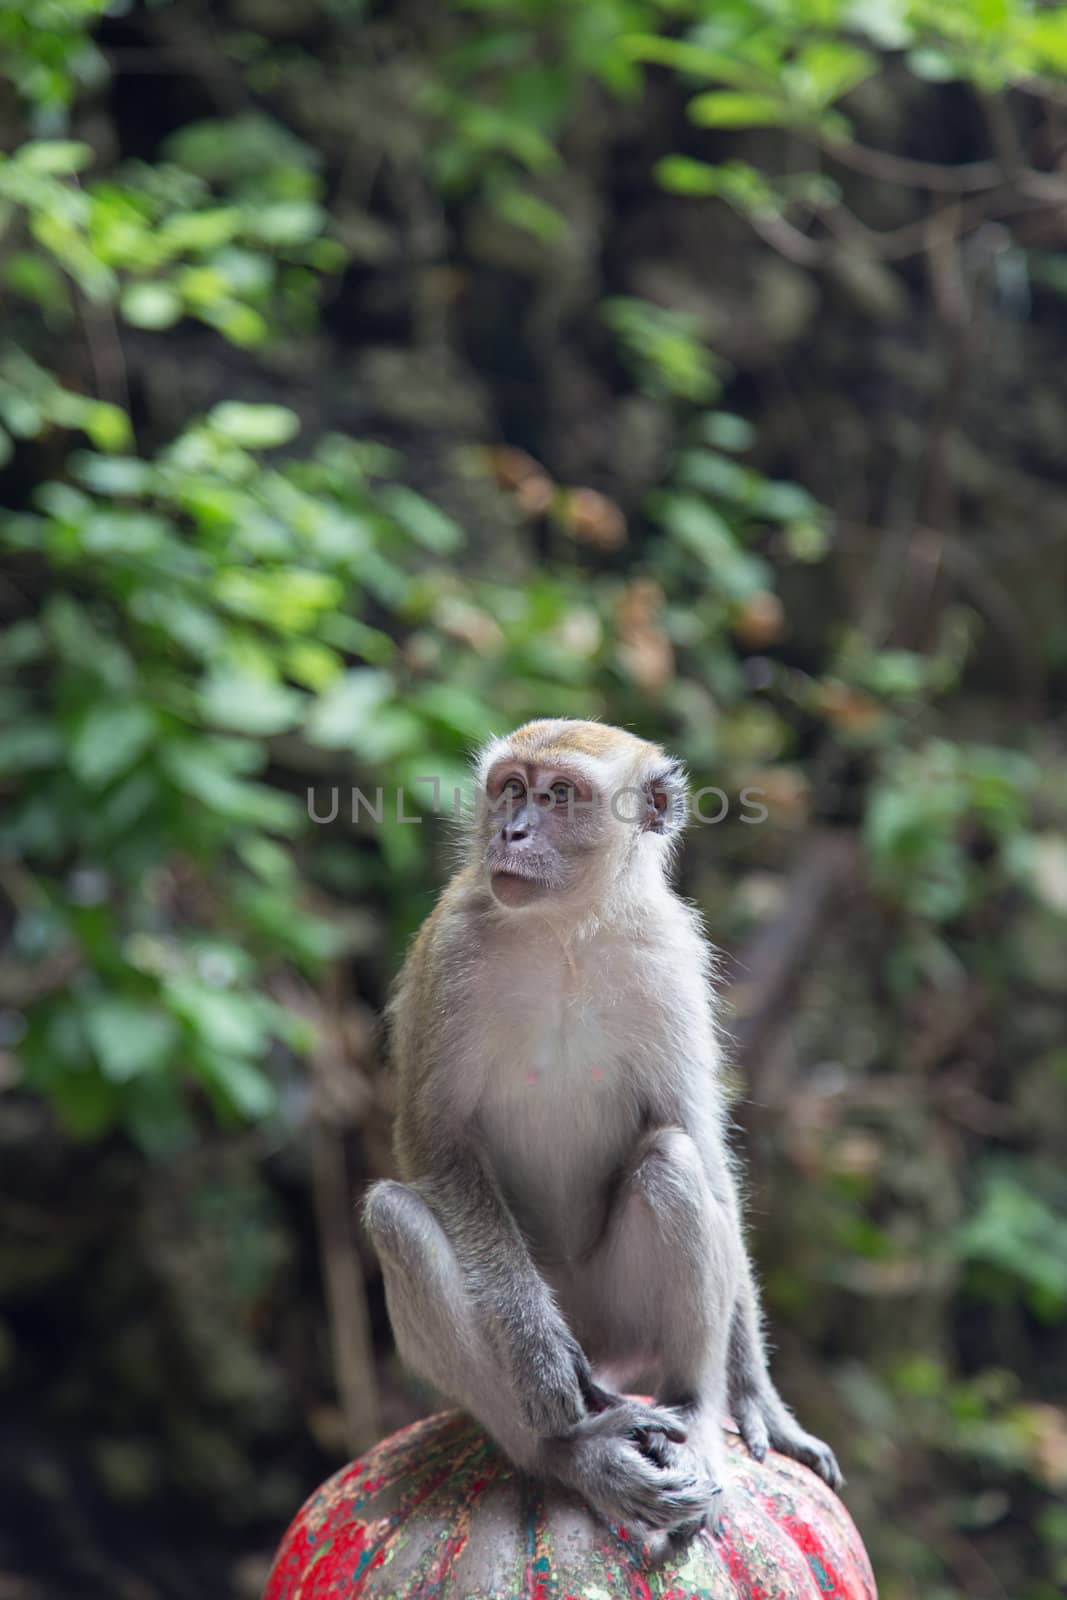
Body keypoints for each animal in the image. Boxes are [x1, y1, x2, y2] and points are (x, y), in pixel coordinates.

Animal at [367, 723, 844, 1548]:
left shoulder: (672, 958)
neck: (566, 930)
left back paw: (696, 1413)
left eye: (561, 796)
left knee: (674, 1162)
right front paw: (535, 1349)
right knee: (397, 1218)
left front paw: (756, 1396)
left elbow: (699, 1145)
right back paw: (576, 1454)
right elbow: (435, 1143)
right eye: (510, 789)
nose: (511, 833)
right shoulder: (451, 951)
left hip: (622, 1325)